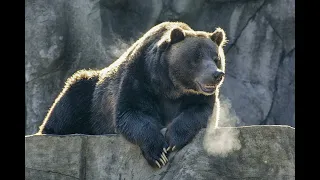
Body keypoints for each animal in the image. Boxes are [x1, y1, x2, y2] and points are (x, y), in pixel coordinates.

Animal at [37, 21, 228, 169]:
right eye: (196, 58)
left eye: (216, 58)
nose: (216, 74)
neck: (170, 85)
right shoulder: (140, 76)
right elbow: (131, 112)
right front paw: (158, 153)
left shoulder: (198, 96)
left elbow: (201, 111)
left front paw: (173, 139)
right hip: (90, 95)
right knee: (72, 96)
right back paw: (51, 131)